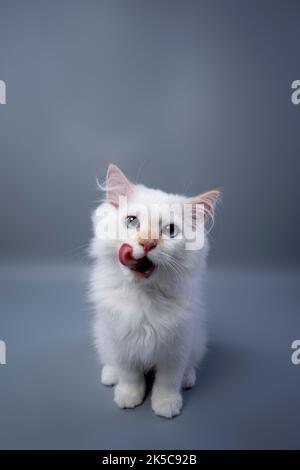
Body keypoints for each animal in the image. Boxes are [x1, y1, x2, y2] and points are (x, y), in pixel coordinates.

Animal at [88, 163, 219, 416]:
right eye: (131, 221)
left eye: (170, 231)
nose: (147, 242)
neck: (144, 297)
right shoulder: (122, 341)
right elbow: (130, 375)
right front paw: (129, 396)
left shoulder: (176, 346)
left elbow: (167, 381)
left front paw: (166, 406)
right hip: (103, 336)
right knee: (111, 361)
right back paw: (110, 375)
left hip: (197, 340)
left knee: (190, 365)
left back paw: (188, 379)